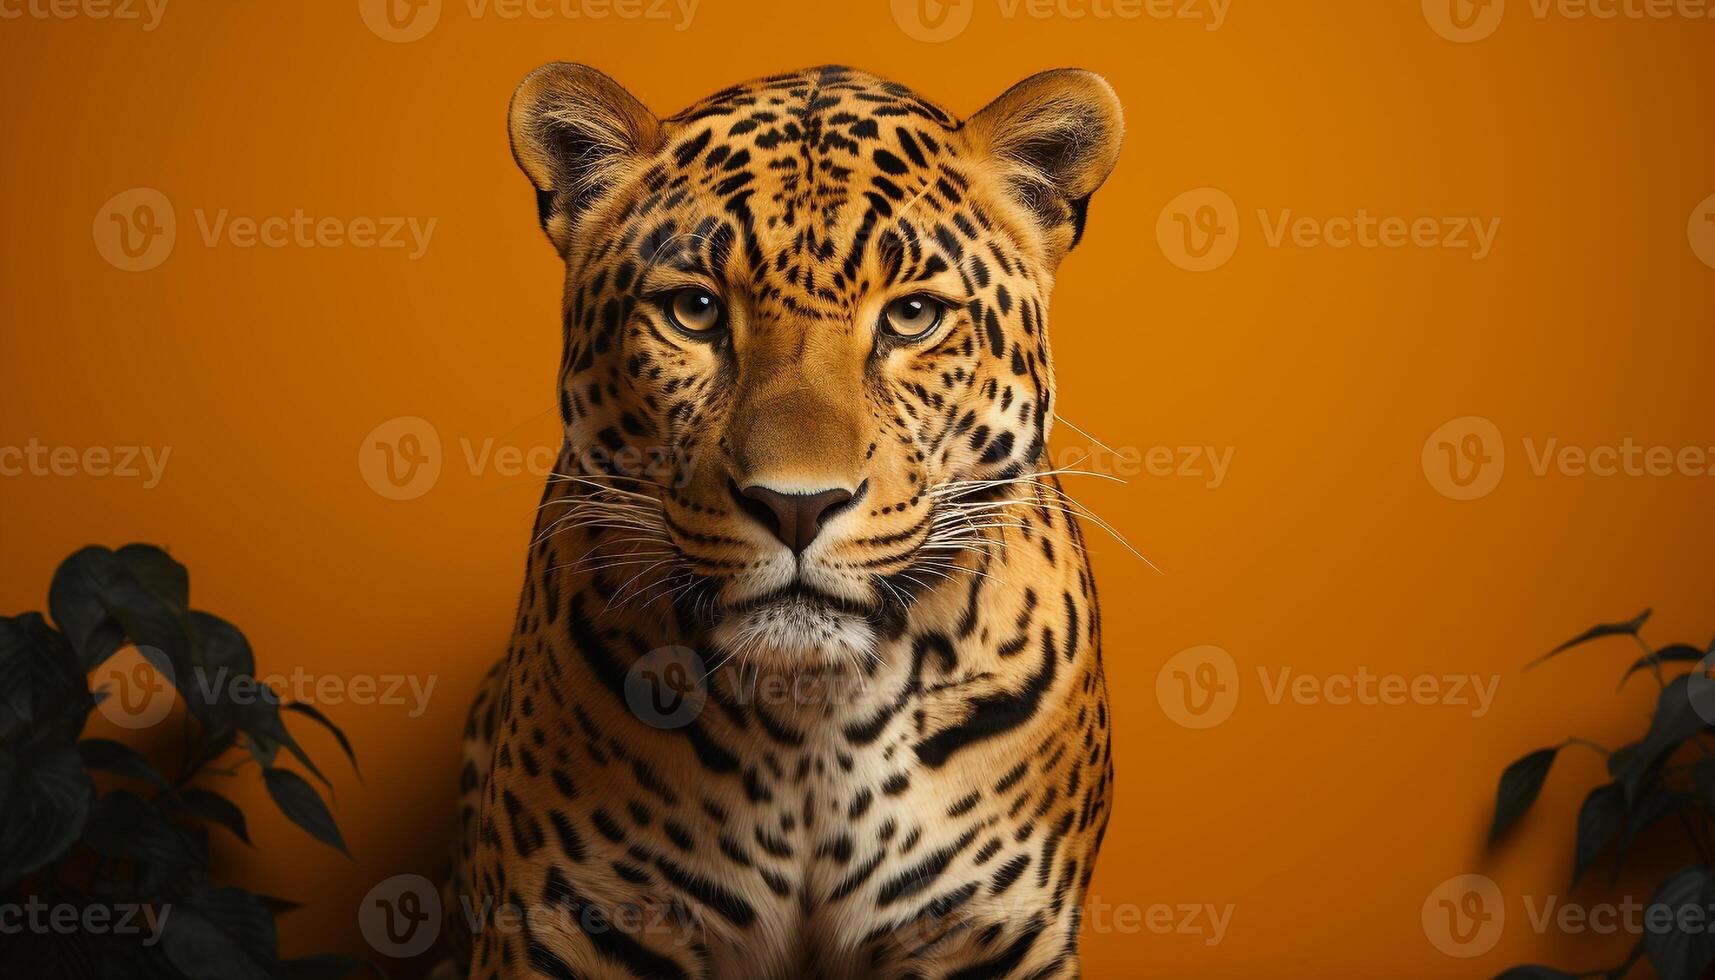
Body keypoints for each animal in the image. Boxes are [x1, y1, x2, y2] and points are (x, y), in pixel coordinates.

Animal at [445, 61, 1125, 980]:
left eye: (912, 316)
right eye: (694, 310)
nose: (795, 506)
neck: (811, 724)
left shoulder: (991, 937)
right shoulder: (565, 929)